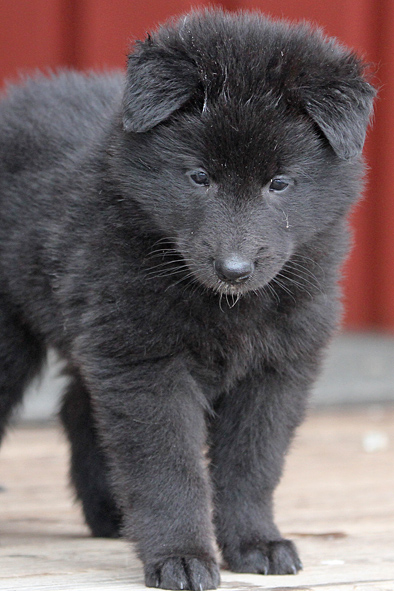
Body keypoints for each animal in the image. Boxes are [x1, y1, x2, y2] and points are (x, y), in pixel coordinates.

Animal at [0, 9, 376, 591]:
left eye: (279, 183)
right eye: (199, 176)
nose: (234, 269)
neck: (228, 306)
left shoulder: (276, 366)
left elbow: (252, 463)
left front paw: (255, 543)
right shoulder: (145, 362)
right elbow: (168, 467)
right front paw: (181, 556)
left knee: (78, 408)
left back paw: (111, 515)